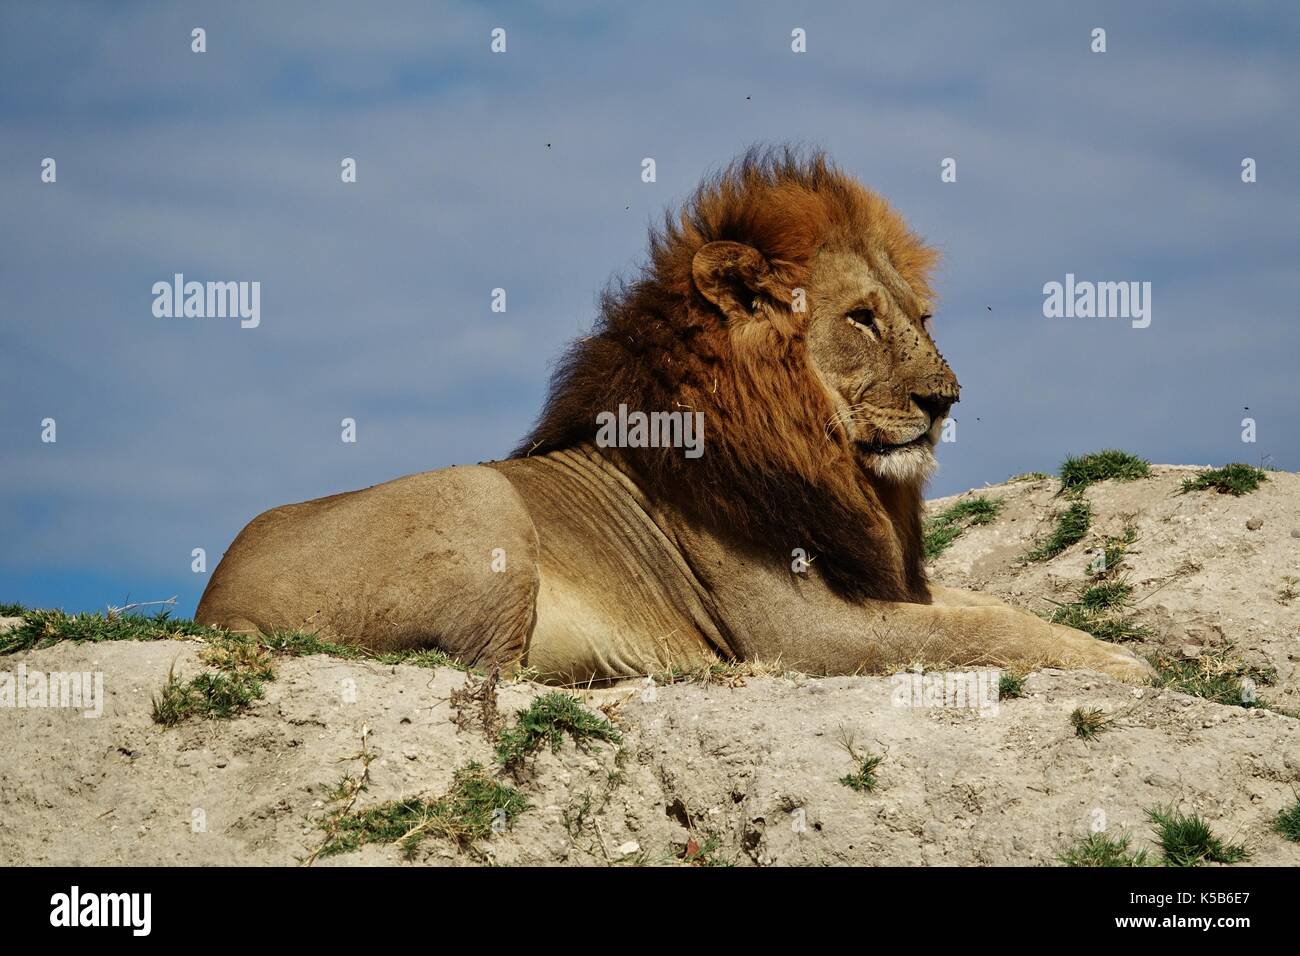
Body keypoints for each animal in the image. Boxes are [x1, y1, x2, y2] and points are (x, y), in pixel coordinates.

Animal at [192, 145, 1149, 686]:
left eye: (920, 316)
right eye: (862, 318)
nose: (945, 401)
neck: (820, 454)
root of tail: (212, 605)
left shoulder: (883, 583)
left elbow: (992, 607)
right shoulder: (799, 633)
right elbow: (982, 628)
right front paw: (1125, 662)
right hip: (480, 500)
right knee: (480, 669)